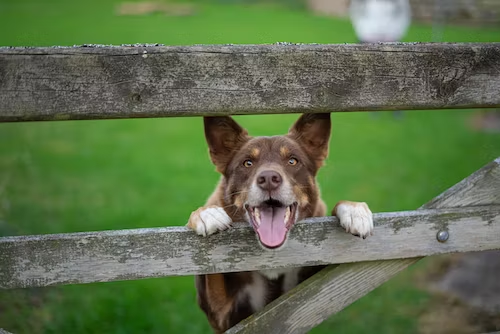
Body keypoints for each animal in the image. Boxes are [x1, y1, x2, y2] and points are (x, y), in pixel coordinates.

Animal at [187, 113, 372, 332]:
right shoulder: (221, 314)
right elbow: (212, 275)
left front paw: (354, 210)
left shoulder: (317, 284)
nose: (268, 178)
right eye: (247, 163)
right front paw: (206, 214)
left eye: (292, 161)